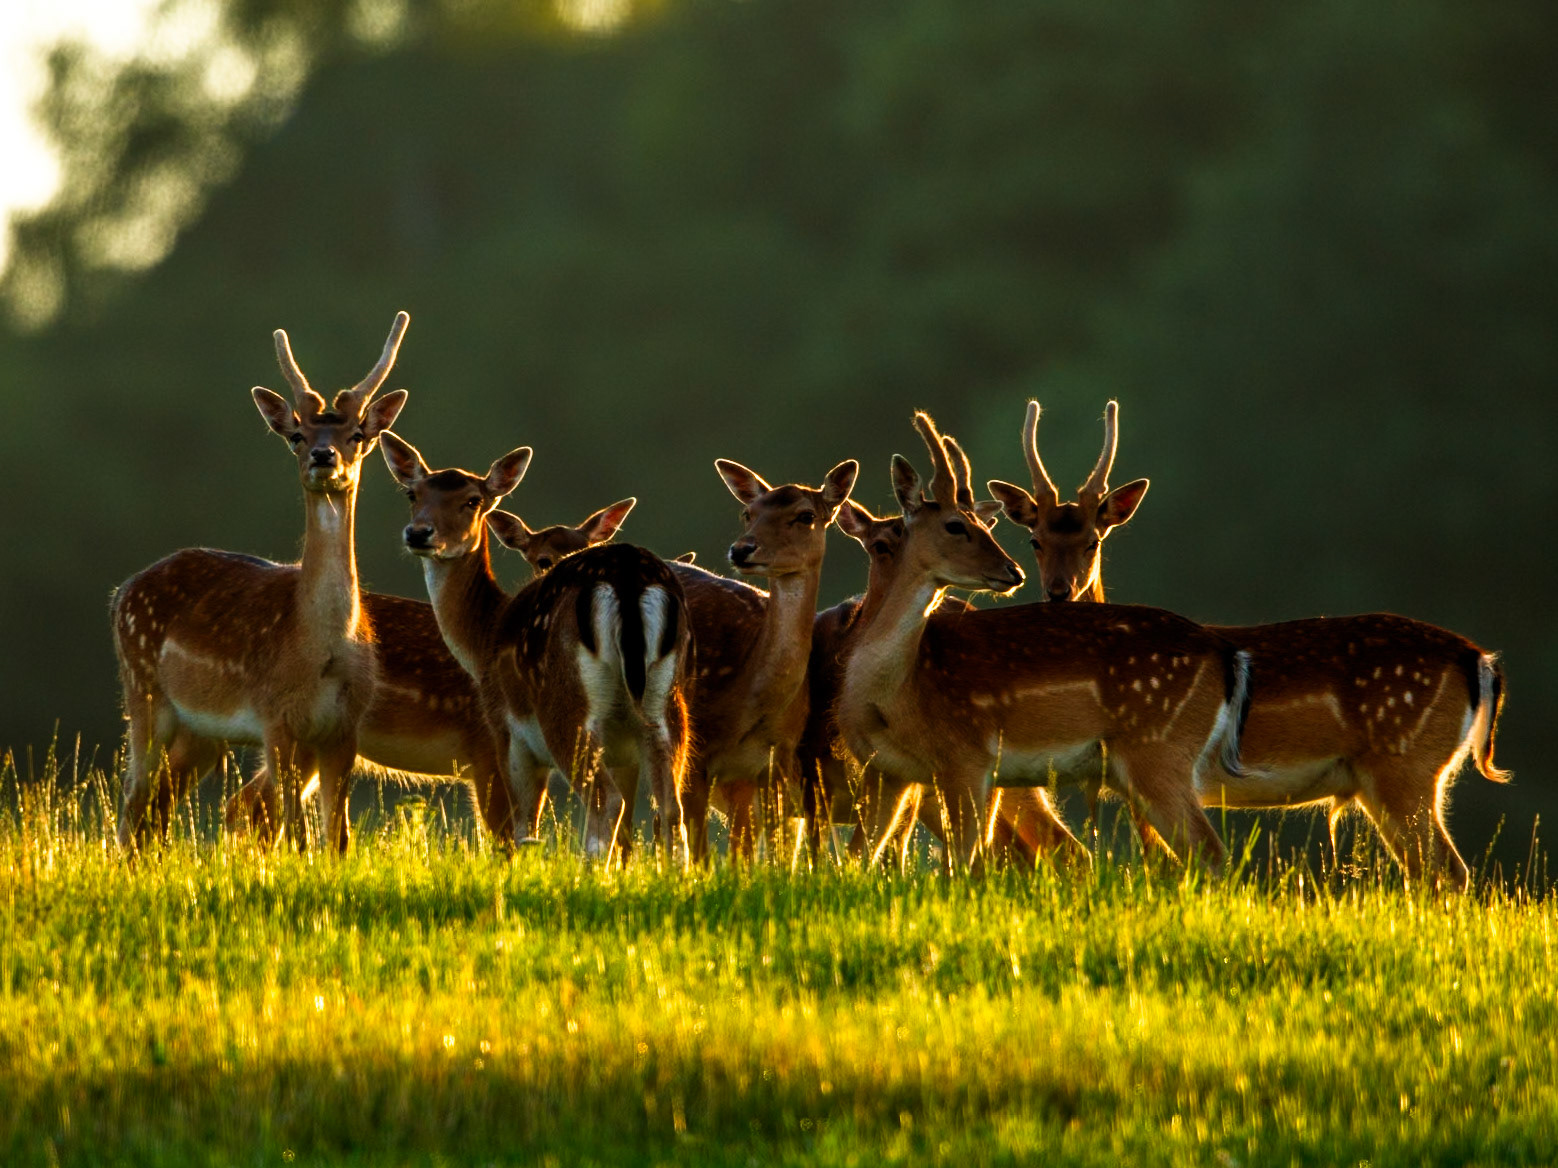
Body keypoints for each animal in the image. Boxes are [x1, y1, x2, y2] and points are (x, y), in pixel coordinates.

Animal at [114, 312, 412, 854]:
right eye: (296, 434)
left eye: (359, 433)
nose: (323, 456)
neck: (322, 652)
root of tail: (121, 592)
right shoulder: (277, 719)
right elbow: (295, 834)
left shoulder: (345, 729)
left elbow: (337, 839)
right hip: (142, 690)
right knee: (133, 799)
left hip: (199, 730)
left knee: (155, 810)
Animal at [378, 433, 694, 862]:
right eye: (413, 493)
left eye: (473, 500)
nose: (418, 533)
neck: (485, 635)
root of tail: (628, 579)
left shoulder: (507, 733)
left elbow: (520, 830)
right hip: (667, 703)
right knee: (671, 809)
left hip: (564, 707)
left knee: (606, 800)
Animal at [663, 458, 859, 861]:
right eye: (747, 513)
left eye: (805, 515)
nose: (742, 549)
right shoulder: (697, 758)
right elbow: (701, 854)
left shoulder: (774, 768)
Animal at [836, 411, 1251, 873]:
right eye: (955, 525)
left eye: (984, 524)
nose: (1012, 571)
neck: (895, 695)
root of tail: (1224, 652)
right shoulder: (885, 771)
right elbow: (853, 861)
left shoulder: (967, 757)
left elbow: (962, 865)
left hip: (1158, 750)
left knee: (1209, 851)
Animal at [990, 400, 1509, 888]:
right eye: (1034, 540)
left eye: (1094, 541)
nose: (1058, 592)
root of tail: (1481, 661)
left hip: (1406, 764)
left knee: (1446, 869)